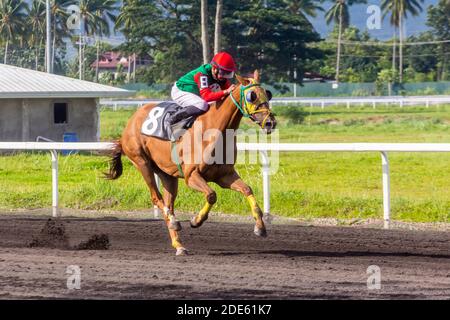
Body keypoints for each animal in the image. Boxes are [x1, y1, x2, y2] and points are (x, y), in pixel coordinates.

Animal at [106, 70, 276, 255]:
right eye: (252, 96)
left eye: (267, 94)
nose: (270, 122)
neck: (215, 130)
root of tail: (130, 123)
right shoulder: (191, 176)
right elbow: (211, 194)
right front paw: (196, 220)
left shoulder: (225, 175)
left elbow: (247, 190)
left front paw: (260, 227)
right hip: (141, 162)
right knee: (156, 197)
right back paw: (174, 222)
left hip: (167, 174)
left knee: (169, 202)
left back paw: (179, 244)